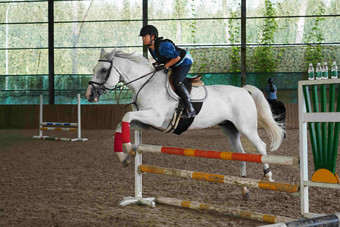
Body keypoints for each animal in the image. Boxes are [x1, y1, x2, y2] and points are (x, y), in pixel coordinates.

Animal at [85, 48, 284, 200]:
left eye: (103, 70)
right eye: (95, 68)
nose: (89, 94)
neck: (145, 84)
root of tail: (243, 90)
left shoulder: (155, 117)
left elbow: (126, 116)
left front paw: (129, 148)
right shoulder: (146, 122)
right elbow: (121, 124)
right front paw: (125, 157)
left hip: (246, 127)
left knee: (261, 146)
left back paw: (268, 176)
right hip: (230, 130)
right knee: (241, 155)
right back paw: (244, 189)